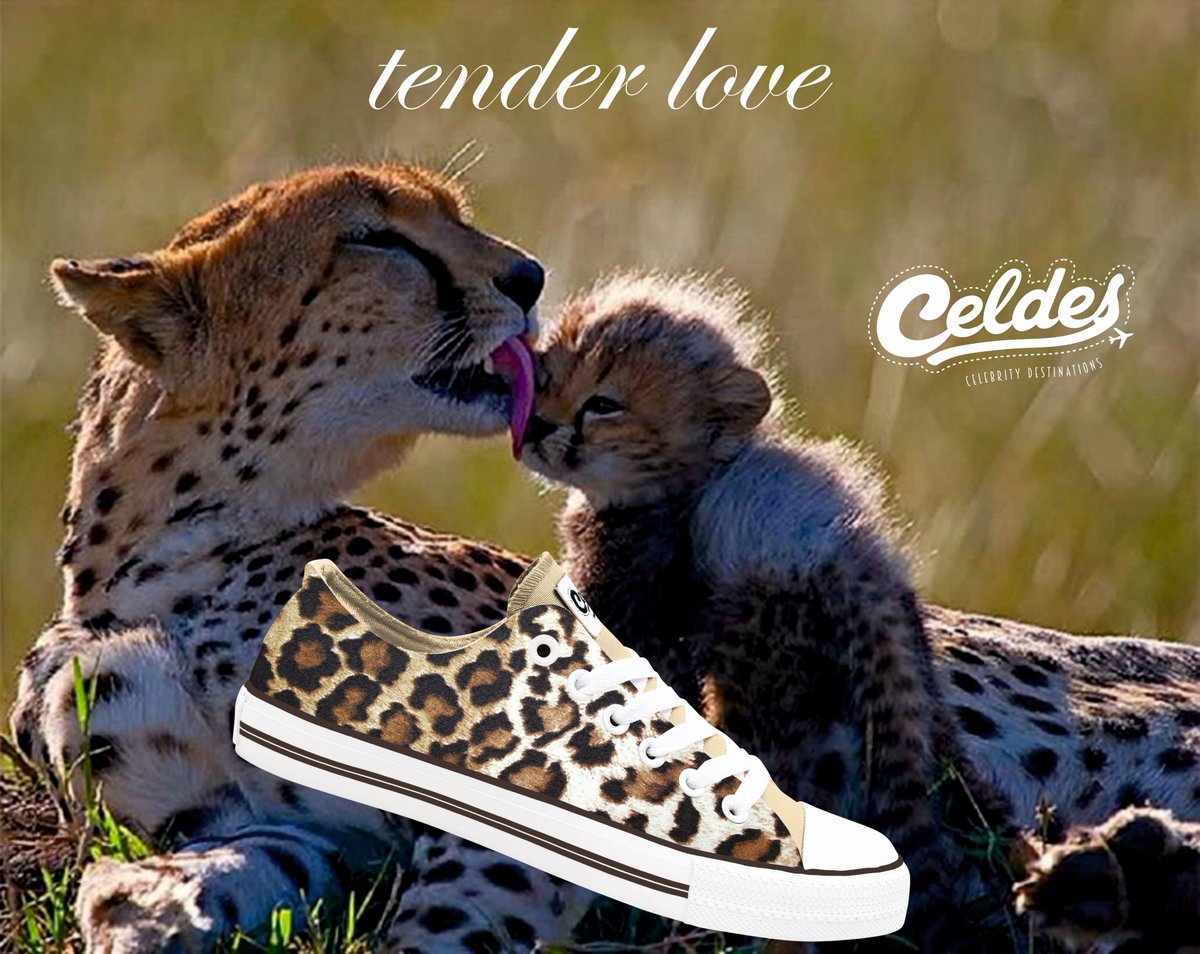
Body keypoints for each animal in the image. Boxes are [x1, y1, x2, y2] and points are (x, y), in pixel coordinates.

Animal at [7, 161, 594, 952]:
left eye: (456, 214)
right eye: (377, 239)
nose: (530, 277)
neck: (168, 558)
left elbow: (446, 914)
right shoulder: (316, 838)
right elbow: (243, 858)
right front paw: (138, 905)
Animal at [519, 271, 1200, 951]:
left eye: (604, 404)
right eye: (548, 373)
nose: (536, 426)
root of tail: (851, 561)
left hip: (764, 664)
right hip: (911, 692)